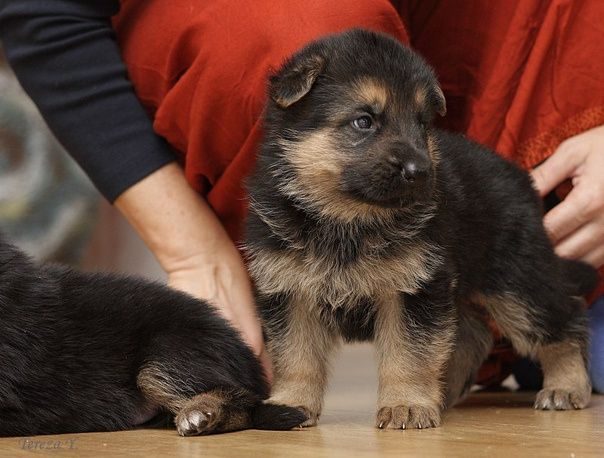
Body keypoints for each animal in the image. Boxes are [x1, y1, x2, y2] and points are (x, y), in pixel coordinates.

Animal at [243, 28, 596, 430]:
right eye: (364, 121)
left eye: (422, 124)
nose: (420, 171)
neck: (347, 218)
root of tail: (522, 179)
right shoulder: (291, 292)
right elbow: (296, 356)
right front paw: (291, 404)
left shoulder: (414, 289)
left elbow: (409, 353)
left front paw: (406, 405)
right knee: (474, 334)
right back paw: (445, 394)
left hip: (518, 282)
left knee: (564, 317)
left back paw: (566, 386)